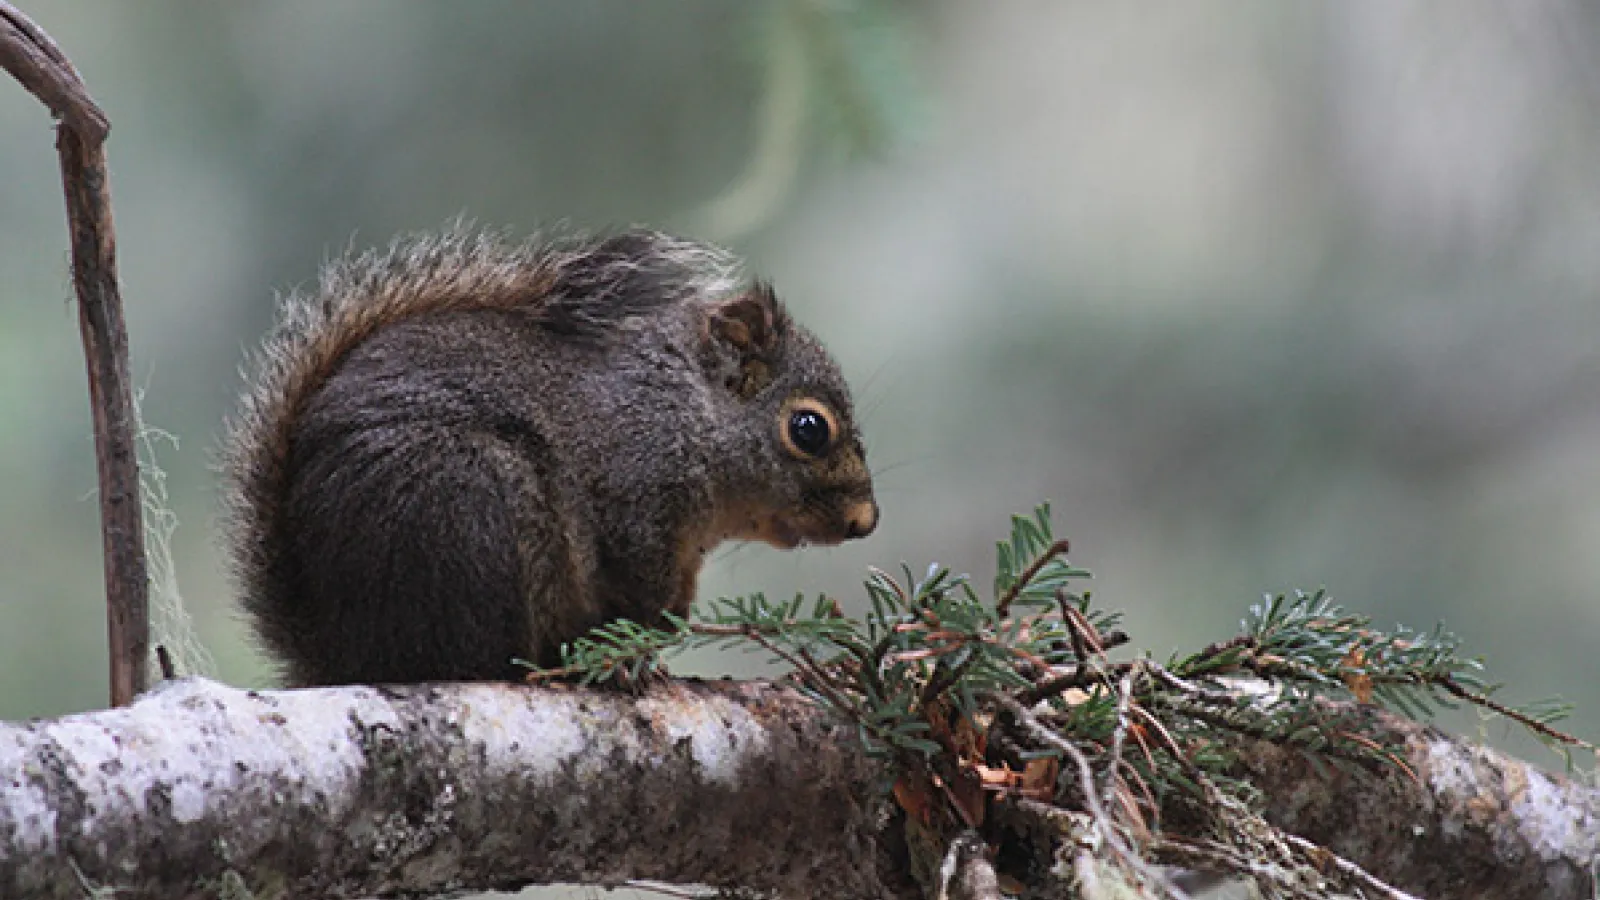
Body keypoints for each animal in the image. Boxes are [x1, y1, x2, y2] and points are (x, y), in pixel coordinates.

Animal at [221, 227, 878, 686]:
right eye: (809, 429)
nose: (865, 522)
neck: (688, 411)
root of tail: (343, 653)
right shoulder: (635, 498)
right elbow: (641, 591)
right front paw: (633, 655)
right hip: (470, 504)